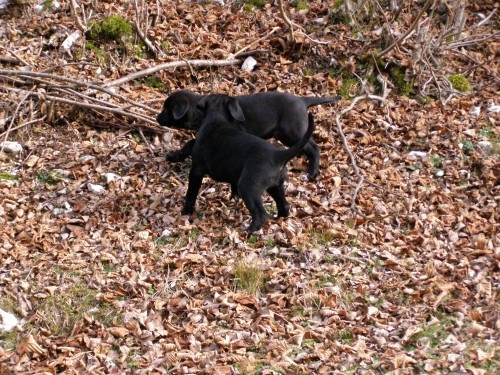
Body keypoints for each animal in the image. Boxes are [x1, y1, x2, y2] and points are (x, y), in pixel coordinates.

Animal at [158, 90, 342, 180]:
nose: (157, 118)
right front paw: (175, 156)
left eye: (167, 109)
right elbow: (190, 143)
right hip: (285, 135)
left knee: (313, 147)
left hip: (292, 131)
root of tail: (303, 101)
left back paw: (313, 172)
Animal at [180, 93, 314, 234]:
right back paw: (277, 219)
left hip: (248, 187)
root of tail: (278, 156)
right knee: (284, 206)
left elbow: (191, 193)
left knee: (261, 214)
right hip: (276, 186)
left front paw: (186, 212)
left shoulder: (196, 170)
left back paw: (248, 231)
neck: (217, 119)